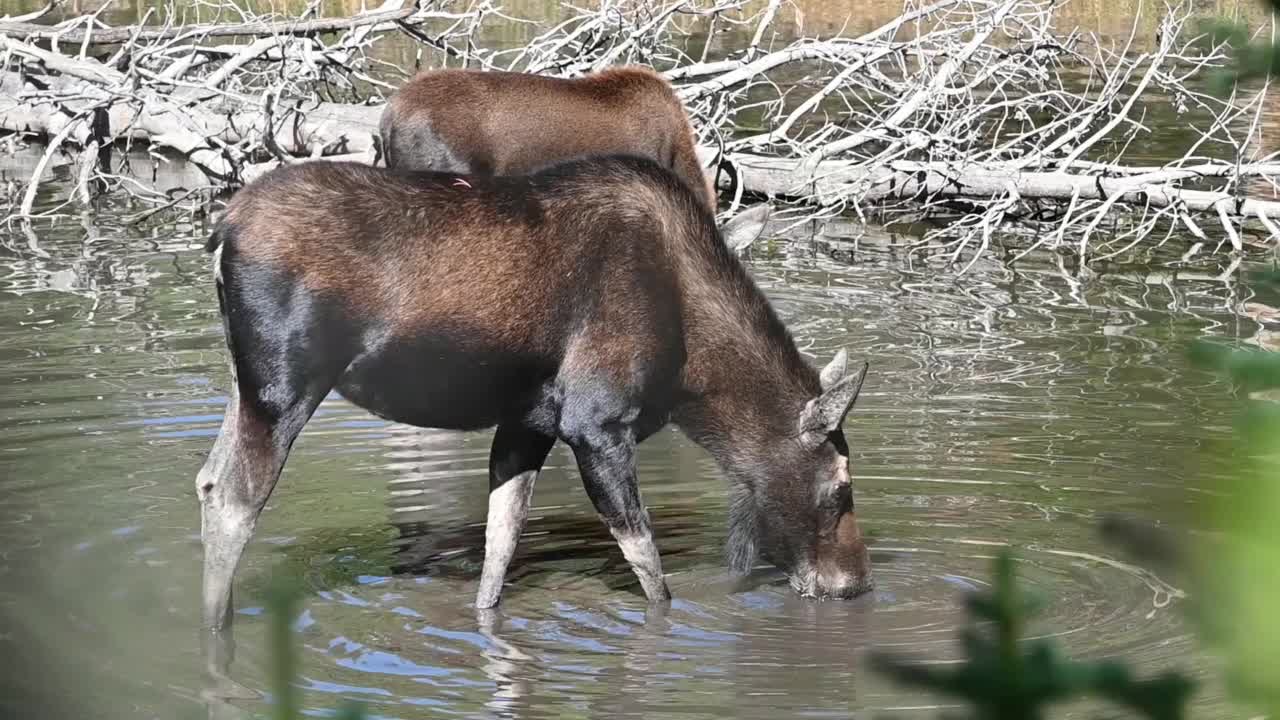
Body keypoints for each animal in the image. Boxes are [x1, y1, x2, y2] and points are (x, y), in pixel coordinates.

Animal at [194, 152, 875, 627]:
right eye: (840, 488)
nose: (855, 585)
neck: (695, 378)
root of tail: (222, 230)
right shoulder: (595, 422)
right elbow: (649, 568)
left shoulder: (527, 422)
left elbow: (500, 548)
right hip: (282, 386)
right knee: (234, 500)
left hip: (243, 383)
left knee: (206, 480)